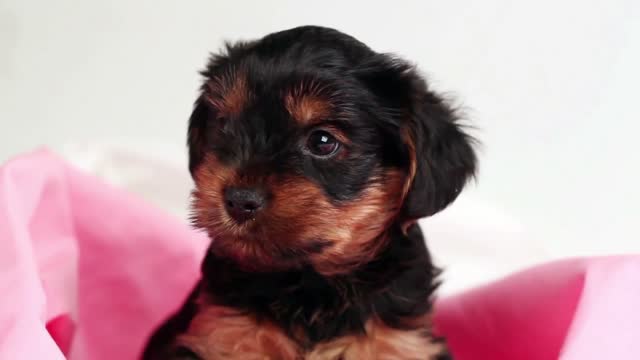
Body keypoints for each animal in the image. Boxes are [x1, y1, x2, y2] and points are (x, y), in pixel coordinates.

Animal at [142, 26, 478, 360]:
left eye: (323, 141)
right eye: (223, 126)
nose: (239, 200)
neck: (311, 284)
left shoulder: (399, 343)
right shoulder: (223, 333)